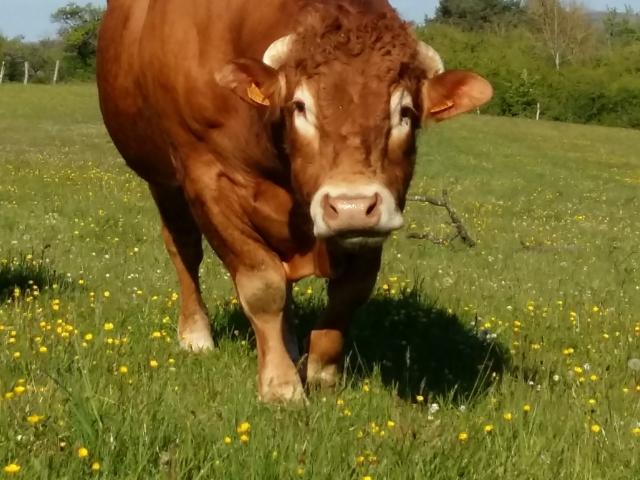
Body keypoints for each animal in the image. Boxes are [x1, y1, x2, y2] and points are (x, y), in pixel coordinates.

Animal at [97, 0, 492, 402]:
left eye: (406, 112)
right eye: (300, 106)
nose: (351, 206)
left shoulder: (378, 213)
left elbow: (350, 291)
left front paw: (321, 371)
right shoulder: (208, 178)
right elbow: (262, 285)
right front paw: (281, 384)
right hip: (163, 181)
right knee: (185, 251)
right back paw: (196, 334)